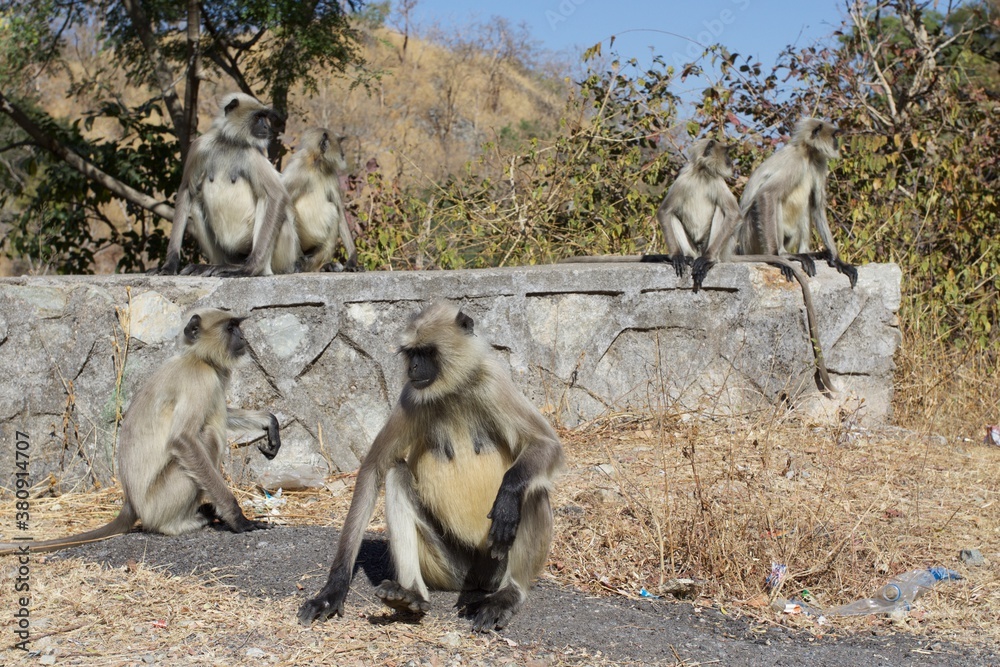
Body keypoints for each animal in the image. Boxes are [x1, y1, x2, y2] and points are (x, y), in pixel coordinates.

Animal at [0, 310, 282, 556]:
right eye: (231, 328)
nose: (243, 338)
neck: (196, 358)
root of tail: (131, 504)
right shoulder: (200, 379)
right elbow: (184, 440)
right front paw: (238, 518)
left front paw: (270, 422)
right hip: (158, 502)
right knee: (207, 435)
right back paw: (179, 524)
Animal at [154, 92, 298, 276]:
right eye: (258, 117)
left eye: (264, 117)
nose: (267, 127)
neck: (229, 141)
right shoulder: (200, 145)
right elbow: (186, 189)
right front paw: (170, 263)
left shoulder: (252, 153)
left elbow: (276, 195)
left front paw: (250, 268)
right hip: (231, 252)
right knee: (196, 204)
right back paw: (217, 265)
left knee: (272, 205)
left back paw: (253, 269)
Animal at [282, 128, 360, 274]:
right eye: (339, 143)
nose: (343, 153)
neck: (317, 164)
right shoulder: (297, 167)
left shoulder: (331, 172)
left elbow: (340, 212)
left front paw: (352, 259)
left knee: (334, 213)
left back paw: (323, 266)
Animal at [296, 302, 564, 632]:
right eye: (411, 354)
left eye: (426, 352)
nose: (412, 369)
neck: (453, 390)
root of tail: (473, 581)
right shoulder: (411, 395)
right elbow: (373, 469)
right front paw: (332, 590)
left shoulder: (493, 382)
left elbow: (546, 445)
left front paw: (507, 499)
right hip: (448, 567)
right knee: (396, 474)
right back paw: (410, 596)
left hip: (494, 566)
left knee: (533, 490)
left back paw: (508, 593)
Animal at [736, 117, 860, 288]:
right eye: (834, 135)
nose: (837, 143)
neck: (807, 153)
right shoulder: (795, 162)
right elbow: (767, 194)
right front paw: (776, 258)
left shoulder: (819, 162)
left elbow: (817, 206)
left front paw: (837, 260)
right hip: (751, 237)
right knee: (774, 202)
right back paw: (784, 254)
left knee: (805, 206)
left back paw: (806, 253)